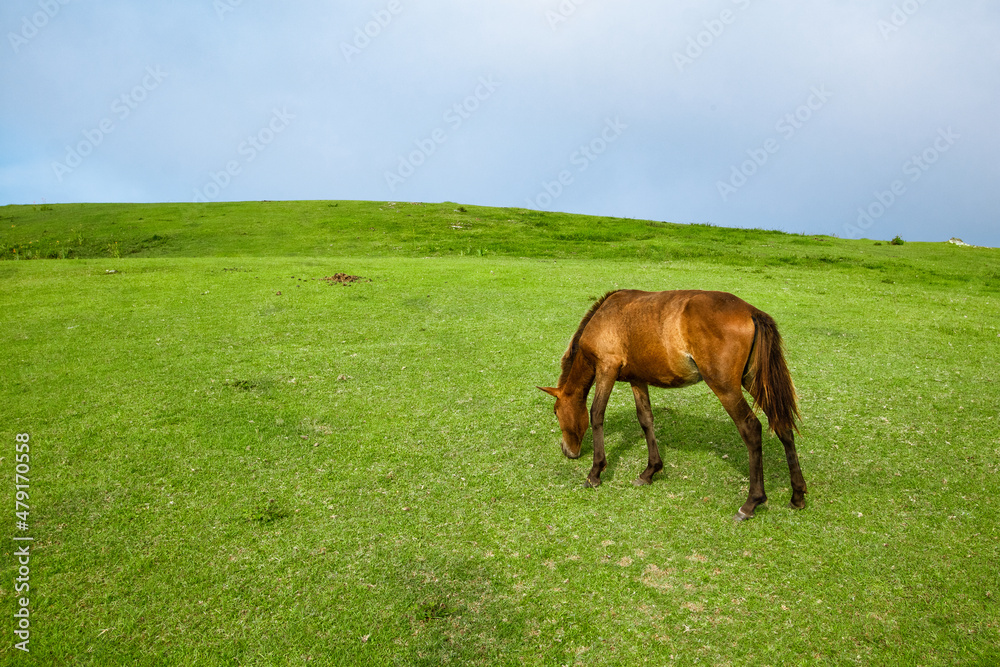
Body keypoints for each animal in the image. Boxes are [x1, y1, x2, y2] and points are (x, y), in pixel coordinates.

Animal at [538, 289, 807, 521]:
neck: (605, 316)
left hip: (726, 388)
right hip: (755, 381)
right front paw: (650, 471)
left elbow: (596, 414)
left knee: (751, 429)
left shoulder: (606, 368)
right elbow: (645, 419)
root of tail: (751, 311)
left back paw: (751, 503)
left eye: (556, 412)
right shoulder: (638, 380)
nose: (568, 451)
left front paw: (595, 472)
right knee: (782, 425)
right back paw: (797, 495)